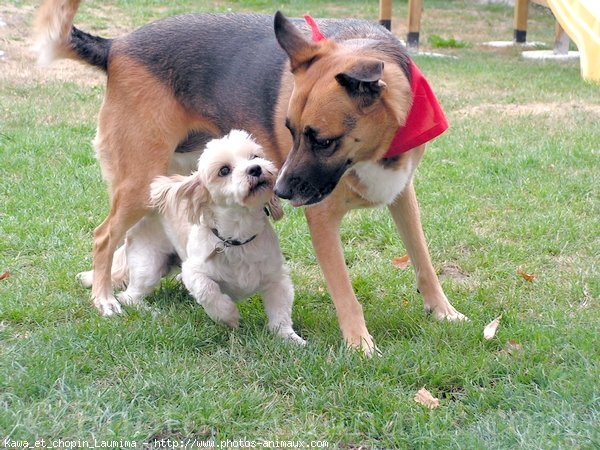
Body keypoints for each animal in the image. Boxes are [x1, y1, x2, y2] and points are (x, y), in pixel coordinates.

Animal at [77, 130, 304, 344]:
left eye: (255, 156)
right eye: (224, 170)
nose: (255, 168)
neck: (239, 239)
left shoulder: (276, 277)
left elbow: (281, 311)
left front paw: (289, 338)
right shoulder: (194, 273)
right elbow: (209, 291)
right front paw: (229, 315)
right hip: (148, 265)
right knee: (129, 297)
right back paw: (152, 311)